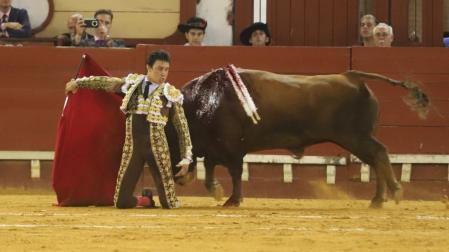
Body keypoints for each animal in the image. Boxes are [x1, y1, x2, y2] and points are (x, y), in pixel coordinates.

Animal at [167, 67, 428, 209]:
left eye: (169, 140)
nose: (177, 178)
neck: (204, 101)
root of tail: (352, 76)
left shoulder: (231, 148)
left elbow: (234, 172)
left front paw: (232, 199)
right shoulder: (216, 147)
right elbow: (211, 168)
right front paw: (217, 192)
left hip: (356, 137)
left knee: (379, 154)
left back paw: (394, 192)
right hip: (357, 139)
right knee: (375, 160)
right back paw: (377, 200)